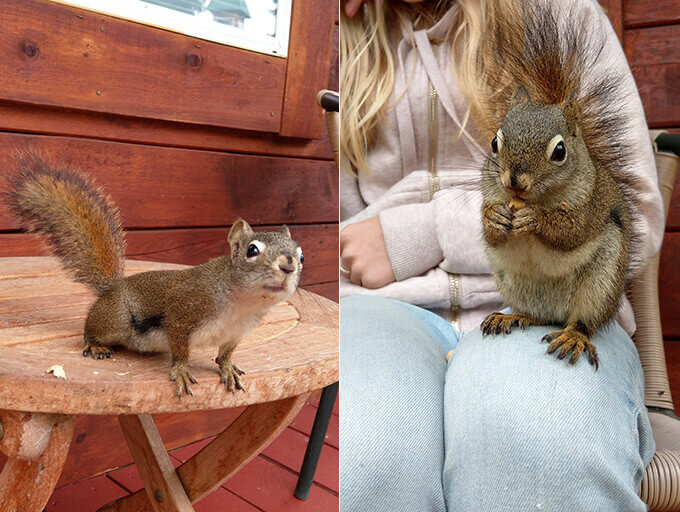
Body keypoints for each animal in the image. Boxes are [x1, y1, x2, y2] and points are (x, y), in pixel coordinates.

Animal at [5, 154, 302, 398]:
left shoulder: (238, 331)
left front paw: (227, 368)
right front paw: (181, 370)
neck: (244, 302)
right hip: (116, 320)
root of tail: (111, 289)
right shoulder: (184, 311)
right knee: (90, 329)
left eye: (300, 257)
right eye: (252, 250)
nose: (288, 268)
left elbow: (226, 353)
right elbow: (180, 347)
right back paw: (95, 345)